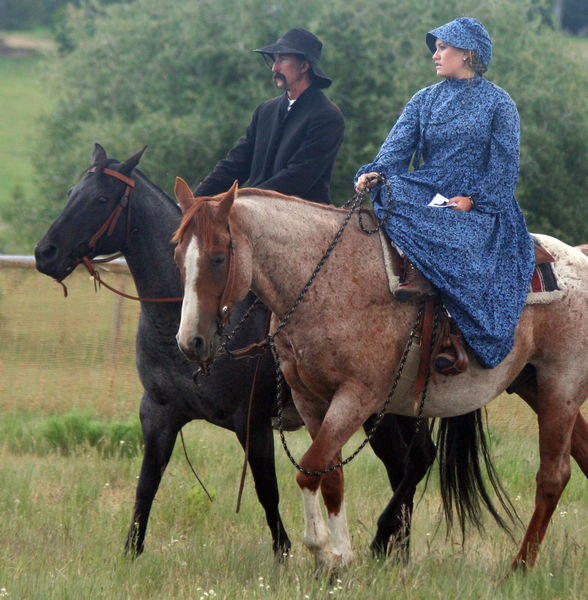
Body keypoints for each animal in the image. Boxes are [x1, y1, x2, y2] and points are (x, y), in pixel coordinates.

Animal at [33, 146, 436, 564]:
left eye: (100, 199)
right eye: (71, 193)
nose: (45, 253)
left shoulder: (251, 422)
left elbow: (266, 489)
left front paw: (282, 554)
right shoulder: (159, 413)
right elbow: (146, 484)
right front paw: (131, 551)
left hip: (380, 409)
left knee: (415, 460)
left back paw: (386, 542)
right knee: (408, 463)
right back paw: (397, 552)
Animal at [172, 179, 588, 572]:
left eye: (218, 258)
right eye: (177, 255)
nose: (191, 341)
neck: (326, 281)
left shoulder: (358, 397)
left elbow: (310, 469)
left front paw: (322, 550)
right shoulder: (310, 399)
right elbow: (331, 476)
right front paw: (340, 559)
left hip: (561, 385)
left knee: (552, 476)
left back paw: (518, 568)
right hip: (534, 385)